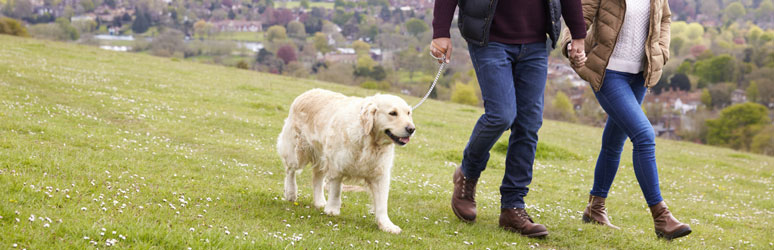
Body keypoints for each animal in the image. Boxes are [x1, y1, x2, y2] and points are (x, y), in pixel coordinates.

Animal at [278, 89, 416, 233]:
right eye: (393, 113)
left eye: (408, 113)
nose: (411, 129)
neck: (369, 140)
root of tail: (307, 92)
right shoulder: (336, 165)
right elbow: (336, 190)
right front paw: (332, 209)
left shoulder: (380, 174)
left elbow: (382, 203)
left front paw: (387, 225)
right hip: (297, 151)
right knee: (290, 170)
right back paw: (291, 193)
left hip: (321, 156)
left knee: (317, 178)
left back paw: (320, 201)